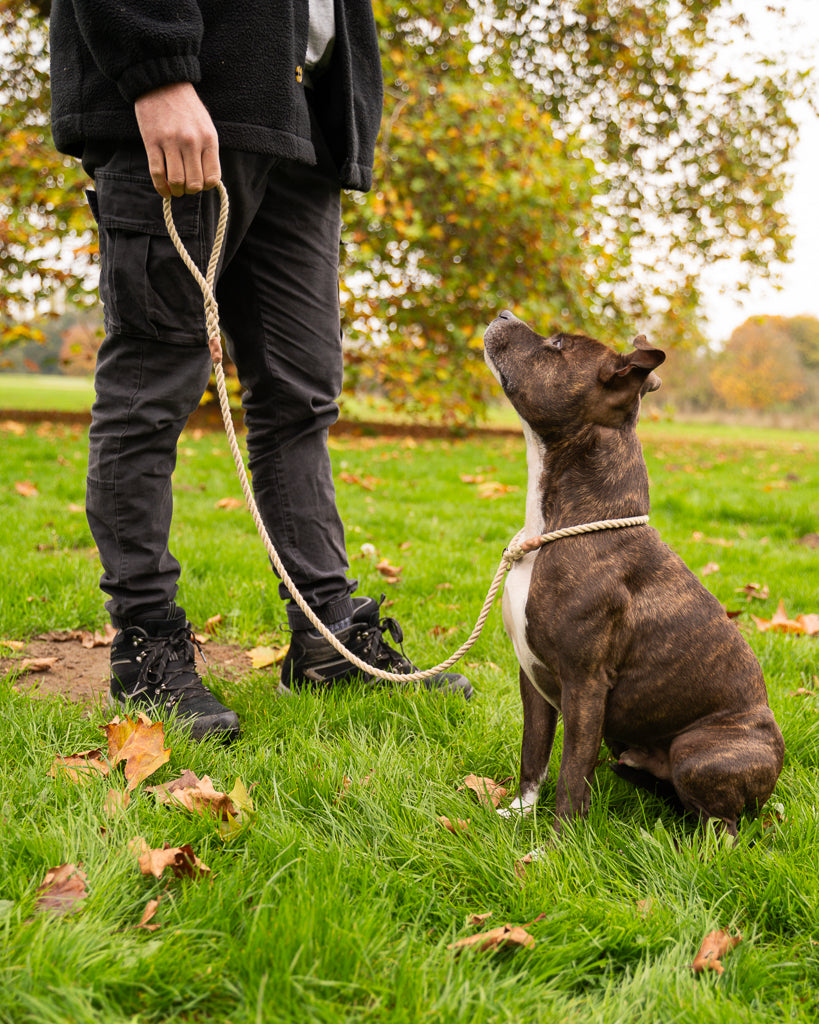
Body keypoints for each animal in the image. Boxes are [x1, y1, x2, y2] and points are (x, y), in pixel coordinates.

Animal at [483, 309, 782, 831]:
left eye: (556, 346)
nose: (504, 313)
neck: (560, 526)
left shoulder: (585, 685)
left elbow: (571, 771)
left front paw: (554, 843)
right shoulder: (532, 677)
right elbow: (534, 753)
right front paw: (518, 814)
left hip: (697, 751)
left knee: (722, 824)